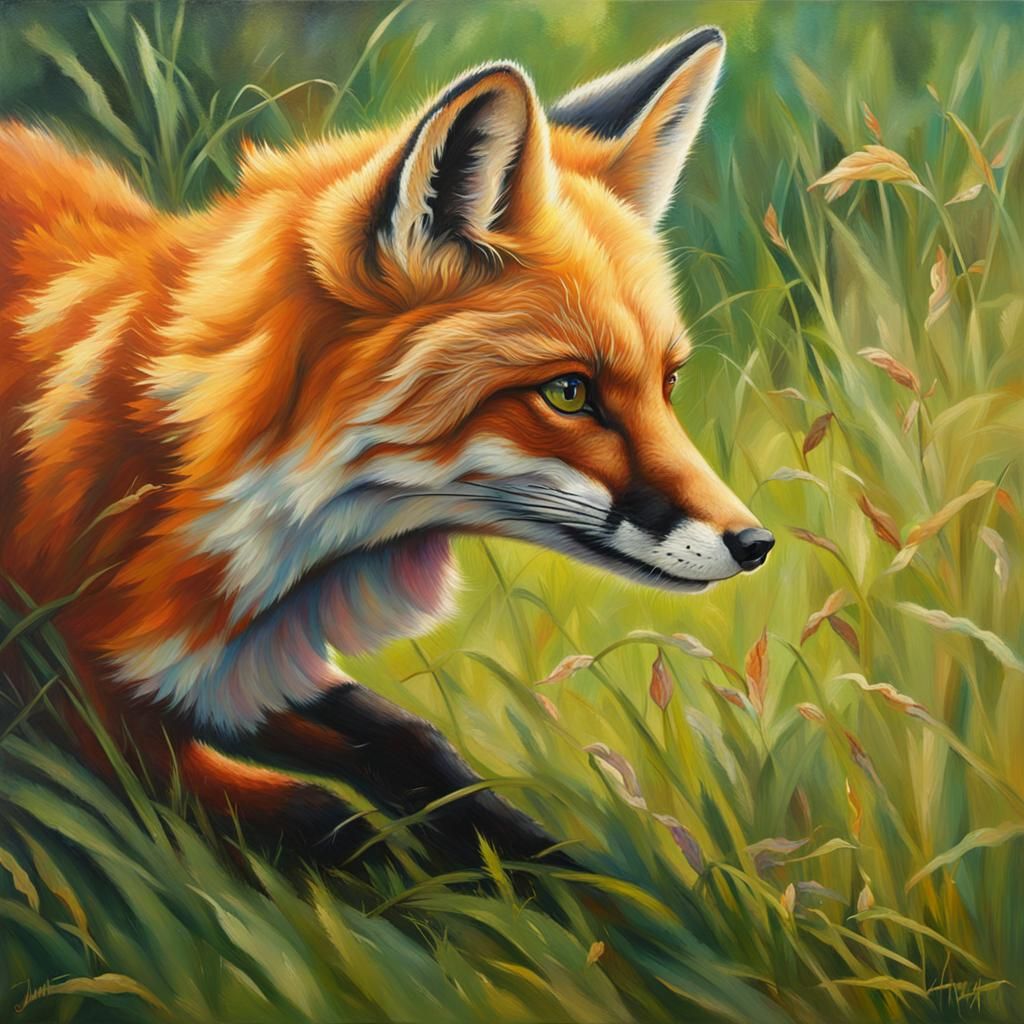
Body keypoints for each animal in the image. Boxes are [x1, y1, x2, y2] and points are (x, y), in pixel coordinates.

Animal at [1, 26, 774, 866]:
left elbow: (416, 746)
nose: (756, 544)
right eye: (570, 393)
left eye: (669, 383)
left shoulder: (240, 669)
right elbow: (331, 824)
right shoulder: (77, 712)